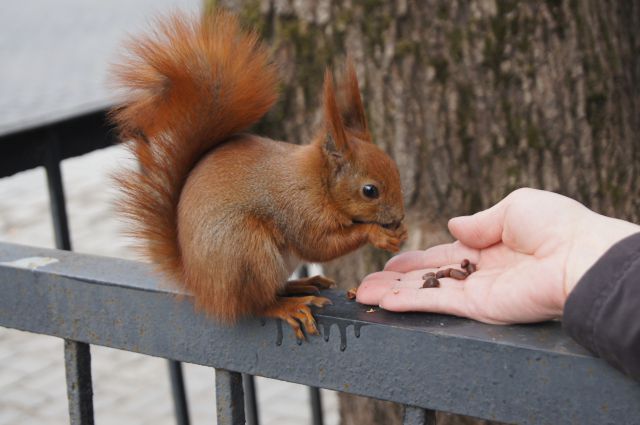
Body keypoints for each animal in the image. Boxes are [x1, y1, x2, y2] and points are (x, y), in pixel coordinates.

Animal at [111, 11, 404, 340]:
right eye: (370, 191)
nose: (398, 218)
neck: (317, 182)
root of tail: (201, 287)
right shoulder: (297, 209)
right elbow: (318, 245)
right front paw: (377, 234)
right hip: (245, 252)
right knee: (254, 305)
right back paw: (288, 305)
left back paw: (301, 284)